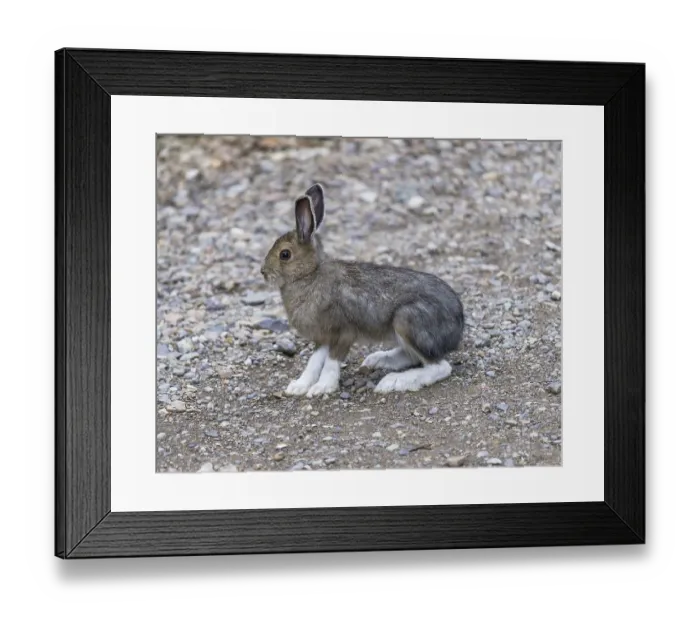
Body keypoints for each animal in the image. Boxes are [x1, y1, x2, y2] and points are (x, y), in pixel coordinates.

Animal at [261, 183, 465, 397]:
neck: (310, 275)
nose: (263, 272)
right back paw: (377, 360)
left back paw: (394, 381)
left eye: (285, 254)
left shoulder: (343, 332)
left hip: (408, 320)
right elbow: (314, 362)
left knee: (439, 367)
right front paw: (299, 386)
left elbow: (331, 362)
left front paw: (323, 387)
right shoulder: (323, 337)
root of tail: (458, 326)